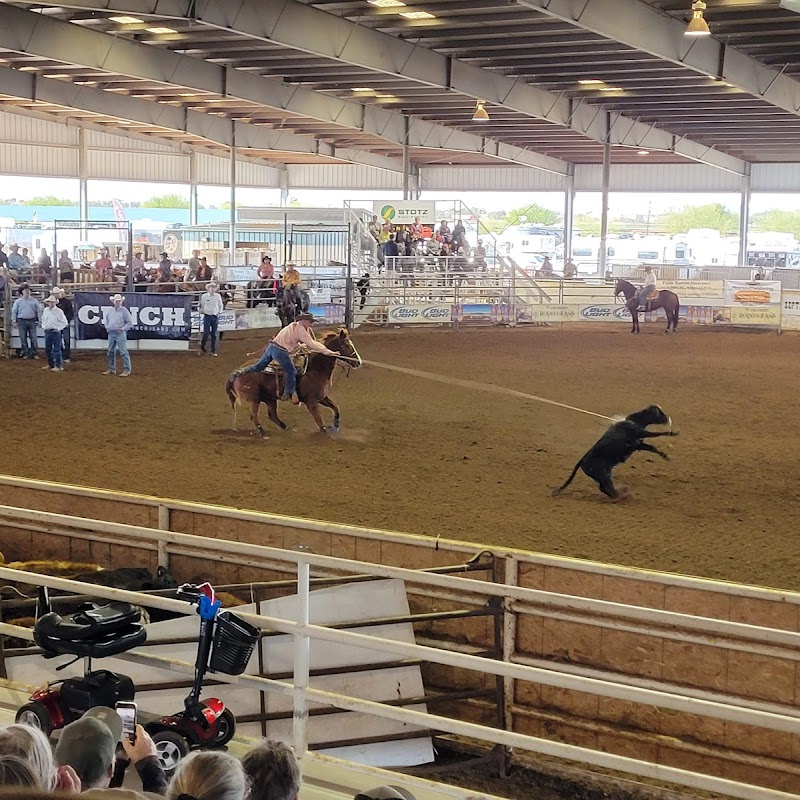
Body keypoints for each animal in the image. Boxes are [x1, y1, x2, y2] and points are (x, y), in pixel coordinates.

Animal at [227, 328, 360, 438]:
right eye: (345, 345)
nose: (358, 362)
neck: (315, 368)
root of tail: (237, 371)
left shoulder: (322, 397)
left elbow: (336, 408)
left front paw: (336, 426)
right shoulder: (311, 402)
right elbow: (319, 420)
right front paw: (326, 434)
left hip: (270, 398)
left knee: (272, 415)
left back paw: (287, 429)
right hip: (254, 399)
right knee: (254, 415)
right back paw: (262, 432)